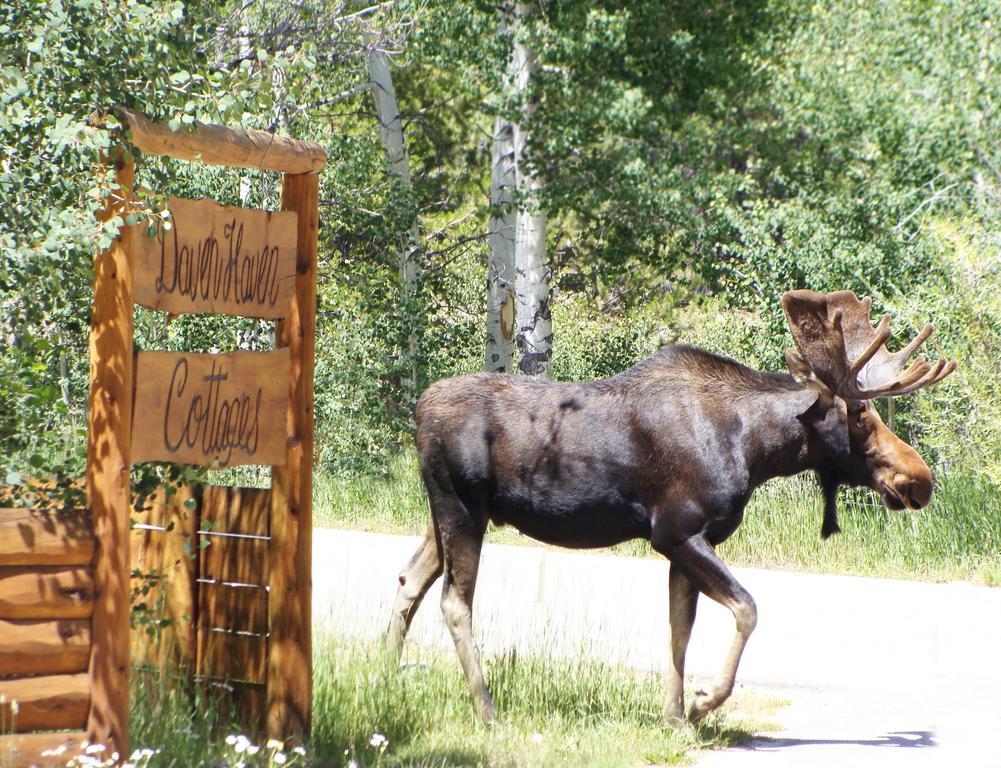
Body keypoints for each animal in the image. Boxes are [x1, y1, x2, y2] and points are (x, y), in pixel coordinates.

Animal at [382, 290, 952, 728]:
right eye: (860, 415)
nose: (919, 480)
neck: (755, 448)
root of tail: (419, 411)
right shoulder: (677, 531)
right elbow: (747, 609)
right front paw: (703, 703)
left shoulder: (687, 544)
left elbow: (681, 628)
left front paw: (675, 716)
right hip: (461, 507)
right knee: (455, 602)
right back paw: (486, 709)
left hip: (445, 512)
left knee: (410, 579)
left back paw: (384, 674)